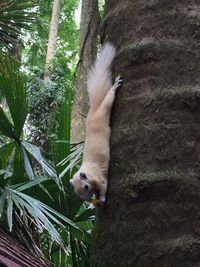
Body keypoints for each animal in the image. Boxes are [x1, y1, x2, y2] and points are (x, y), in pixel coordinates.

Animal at [69, 42, 122, 205]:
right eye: (77, 193)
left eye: (85, 187)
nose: (87, 200)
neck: (88, 172)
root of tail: (94, 109)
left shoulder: (100, 178)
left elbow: (104, 187)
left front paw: (102, 199)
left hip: (104, 109)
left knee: (109, 98)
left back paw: (115, 85)